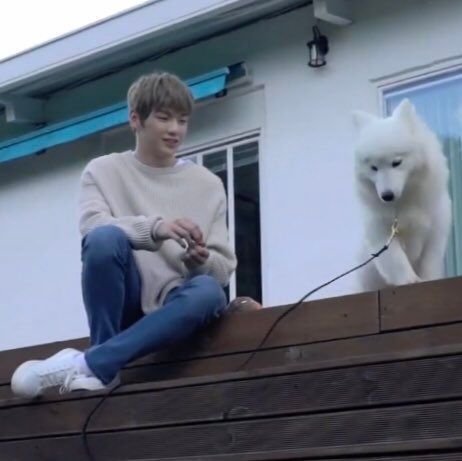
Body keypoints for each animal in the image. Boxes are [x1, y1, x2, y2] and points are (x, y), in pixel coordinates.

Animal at [352, 98, 452, 291]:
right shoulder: (381, 232)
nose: (387, 195)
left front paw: (428, 279)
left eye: (396, 162)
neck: (404, 201)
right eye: (373, 168)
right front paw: (408, 280)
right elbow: (396, 259)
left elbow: (430, 261)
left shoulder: (435, 229)